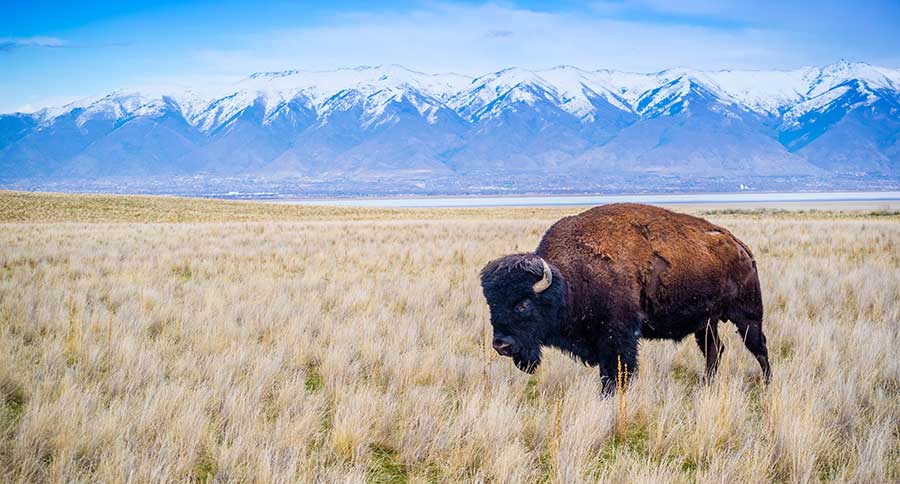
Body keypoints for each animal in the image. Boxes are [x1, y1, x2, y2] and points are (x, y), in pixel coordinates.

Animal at [480, 203, 770, 393]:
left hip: (747, 315)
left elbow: (617, 372)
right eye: (492, 304)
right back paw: (706, 385)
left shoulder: (618, 336)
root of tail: (741, 247)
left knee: (758, 347)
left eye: (523, 303)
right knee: (714, 350)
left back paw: (767, 384)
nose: (501, 345)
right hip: (706, 323)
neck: (569, 281)